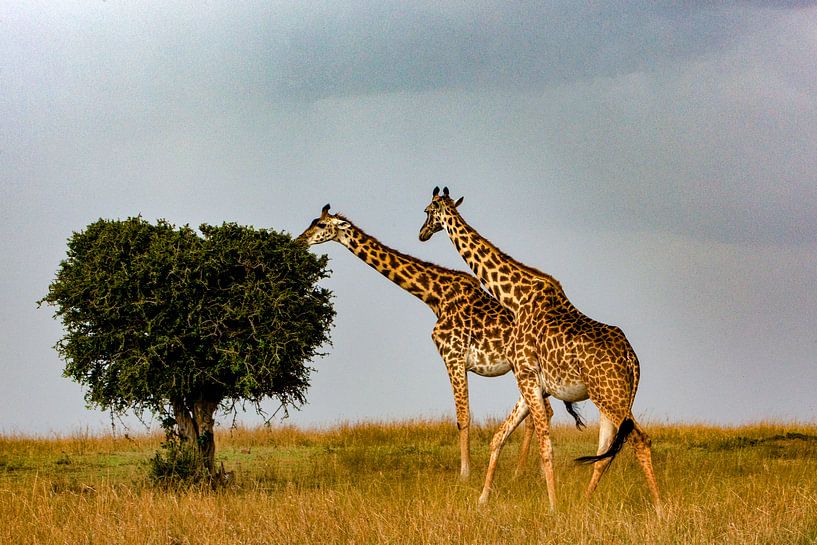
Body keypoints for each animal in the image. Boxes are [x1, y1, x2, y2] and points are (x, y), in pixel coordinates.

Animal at [296, 203, 584, 476]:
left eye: (319, 223)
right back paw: (526, 471)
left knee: (542, 413)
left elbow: (463, 417)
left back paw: (522, 472)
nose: (299, 240)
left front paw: (465, 474)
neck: (434, 296)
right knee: (542, 413)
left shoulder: (453, 357)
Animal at [418, 188, 660, 510]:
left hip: (609, 396)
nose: (421, 233)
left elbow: (545, 444)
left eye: (427, 210)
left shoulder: (526, 375)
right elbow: (511, 436)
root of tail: (633, 361)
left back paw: (660, 511)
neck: (515, 297)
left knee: (638, 442)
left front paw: (553, 507)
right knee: (606, 451)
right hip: (614, 398)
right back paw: (584, 505)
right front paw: (486, 499)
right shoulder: (532, 381)